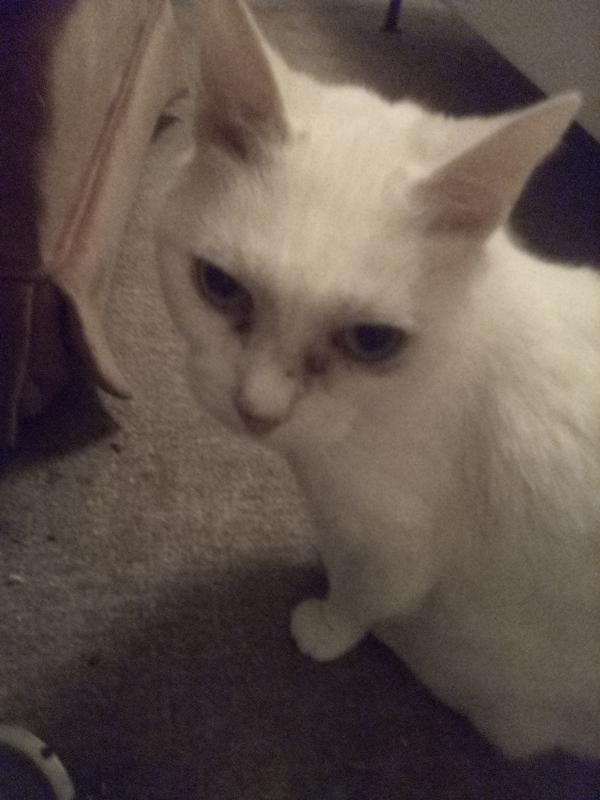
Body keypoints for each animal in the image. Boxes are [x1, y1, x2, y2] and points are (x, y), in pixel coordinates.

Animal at [157, 0, 600, 760]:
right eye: (219, 286)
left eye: (371, 341)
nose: (258, 409)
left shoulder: (398, 542)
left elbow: (365, 594)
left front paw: (329, 626)